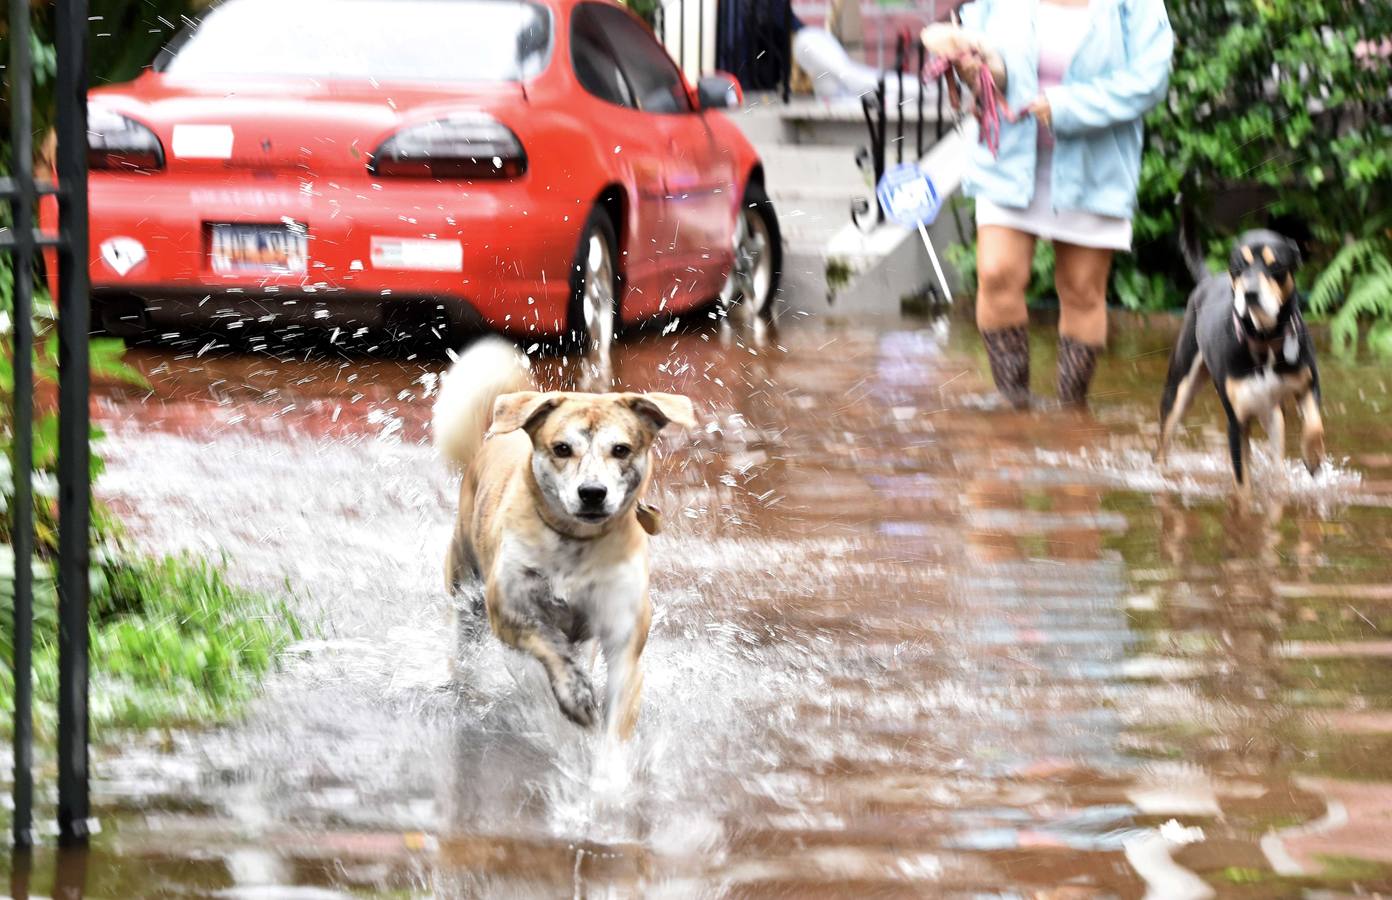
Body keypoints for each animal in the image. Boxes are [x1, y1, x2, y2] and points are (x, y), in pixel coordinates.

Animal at [431, 342, 693, 745]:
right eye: (561, 448)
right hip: (466, 588)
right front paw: (575, 695)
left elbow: (617, 710)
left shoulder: (623, 628)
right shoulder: (508, 609)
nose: (593, 492)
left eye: (621, 449)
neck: (576, 545)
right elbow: (548, 643)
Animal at [1158, 229, 1319, 489]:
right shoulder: (1236, 420)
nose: (1250, 293)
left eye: (1276, 265)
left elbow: (1314, 424)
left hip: (1272, 413)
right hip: (1178, 392)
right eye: (1238, 266)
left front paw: (1313, 458)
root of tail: (1208, 281)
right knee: (1163, 444)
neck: (1265, 339)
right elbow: (1242, 483)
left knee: (1277, 461)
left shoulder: (1308, 384)